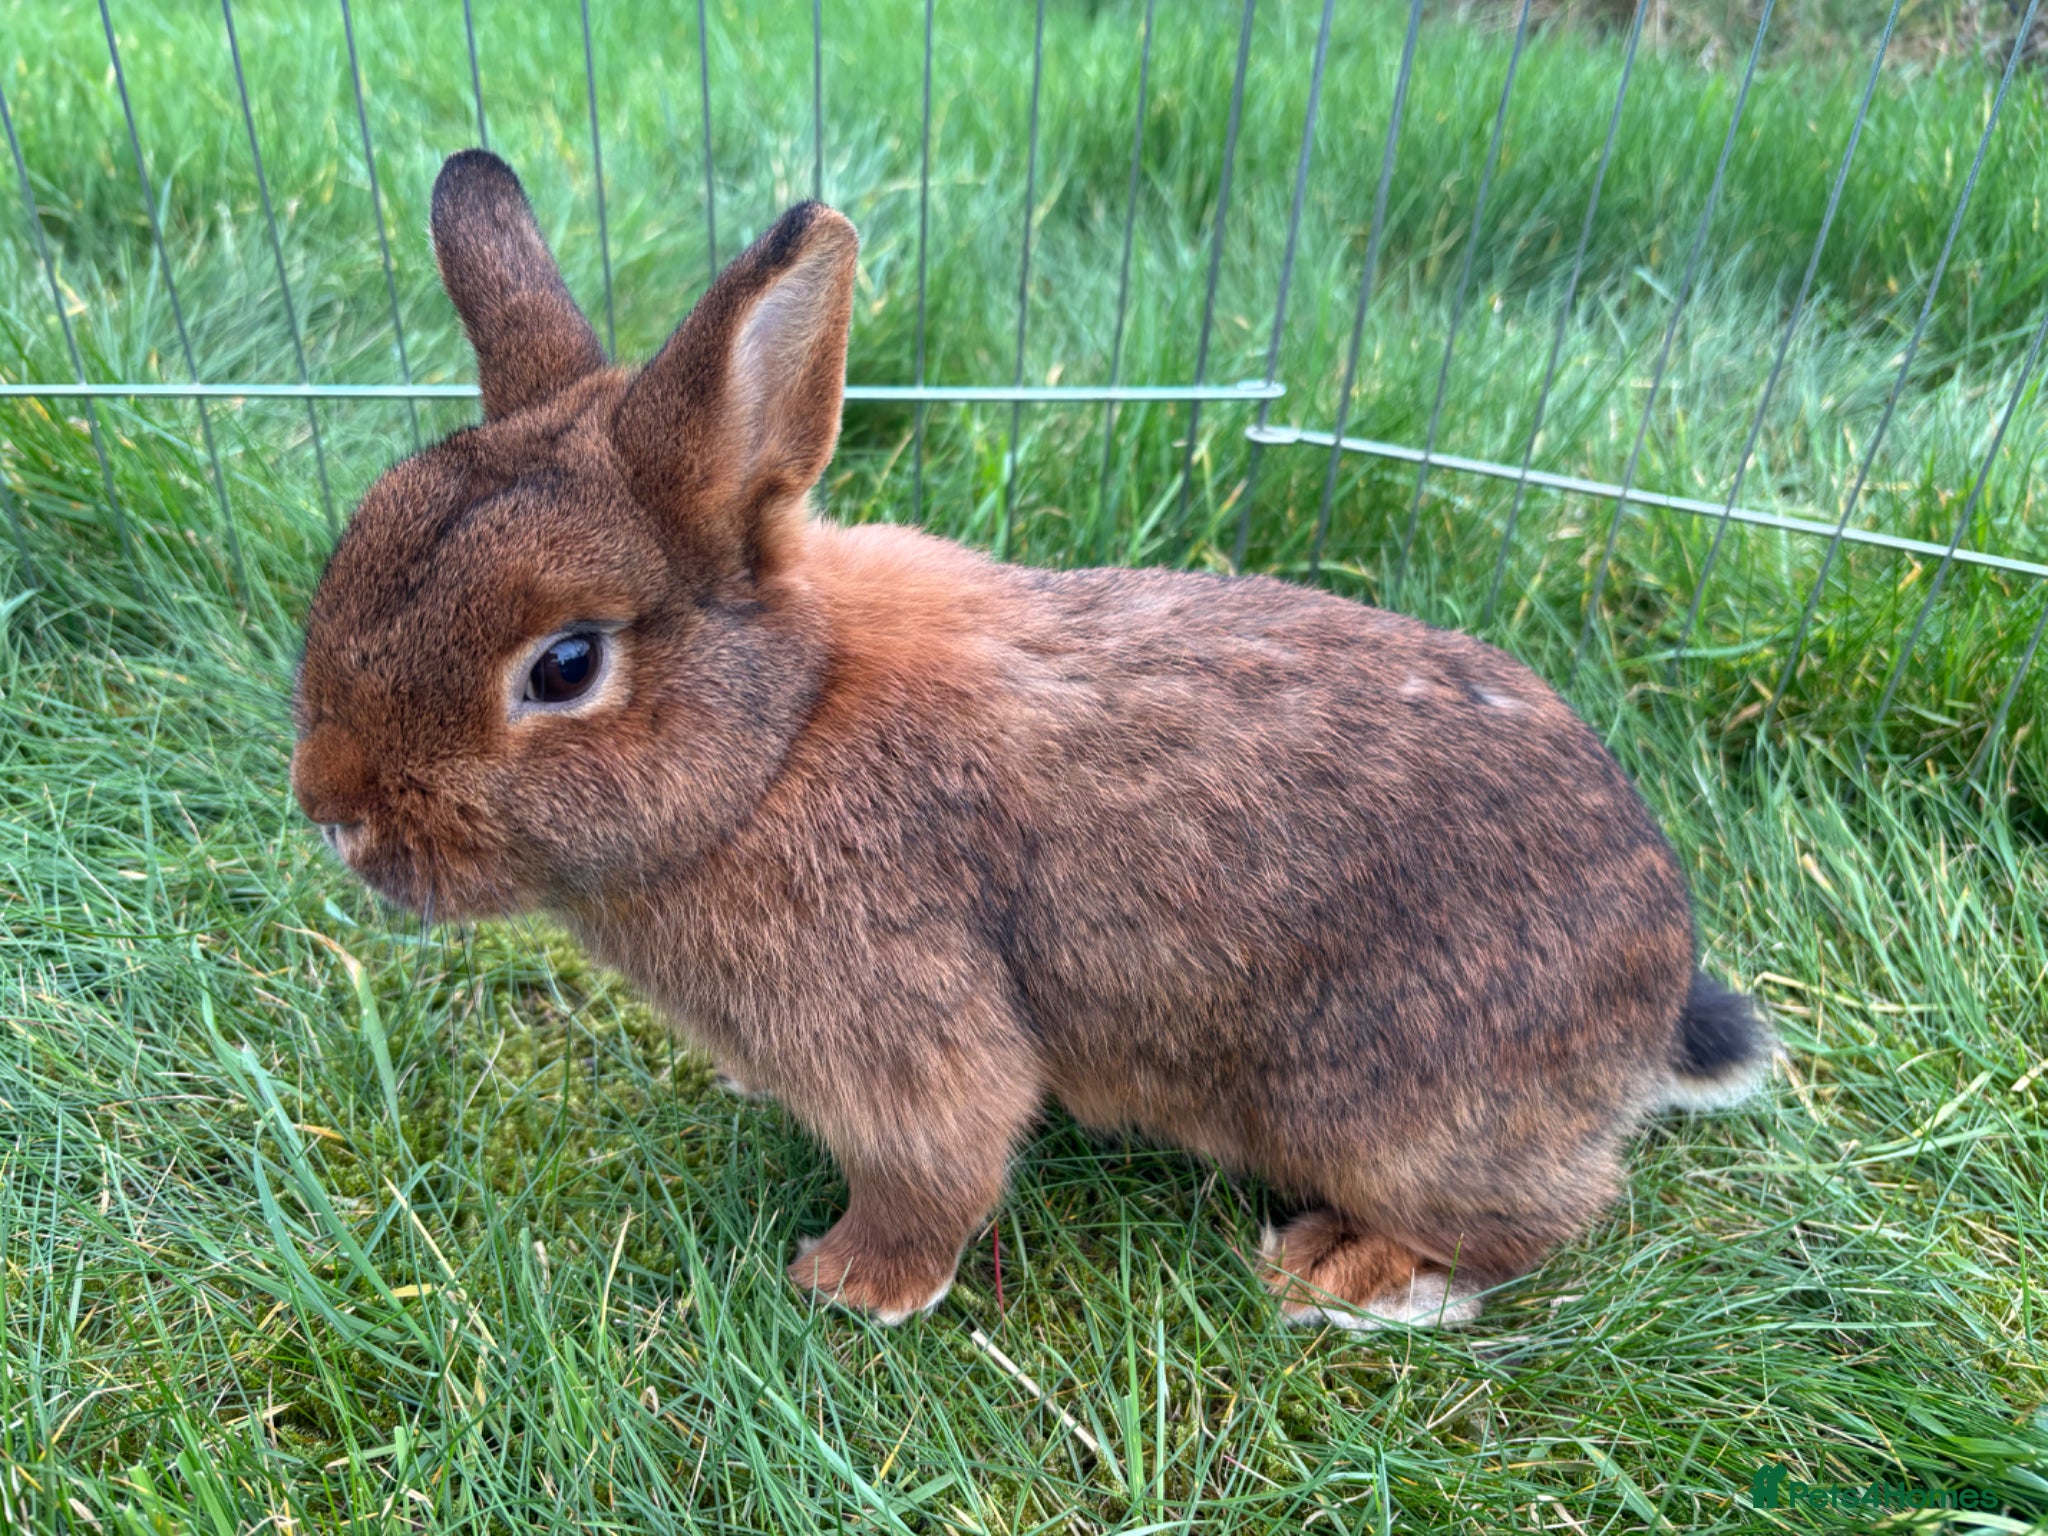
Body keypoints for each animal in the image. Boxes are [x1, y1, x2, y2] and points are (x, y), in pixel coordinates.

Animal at [292, 149, 1770, 1329]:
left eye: (565, 666)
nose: (331, 810)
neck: (777, 742)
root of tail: (1653, 1006)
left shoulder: (908, 1035)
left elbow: (935, 1169)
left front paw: (853, 1285)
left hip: (1394, 1114)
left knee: (1545, 1221)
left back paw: (1347, 1276)